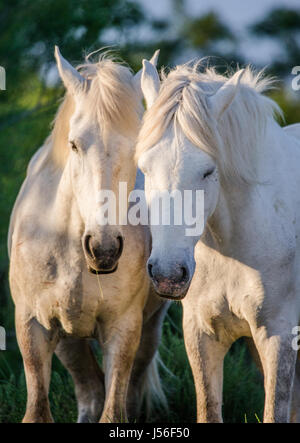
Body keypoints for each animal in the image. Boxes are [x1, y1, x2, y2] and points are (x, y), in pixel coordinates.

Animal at [7, 46, 169, 424]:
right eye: (74, 144)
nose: (103, 249)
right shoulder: (32, 325)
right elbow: (39, 409)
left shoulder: (123, 329)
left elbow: (114, 410)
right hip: (68, 338)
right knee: (89, 389)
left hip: (149, 328)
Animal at [137, 59, 300, 424]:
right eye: (145, 168)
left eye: (208, 171)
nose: (168, 274)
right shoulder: (202, 335)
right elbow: (208, 409)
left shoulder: (278, 336)